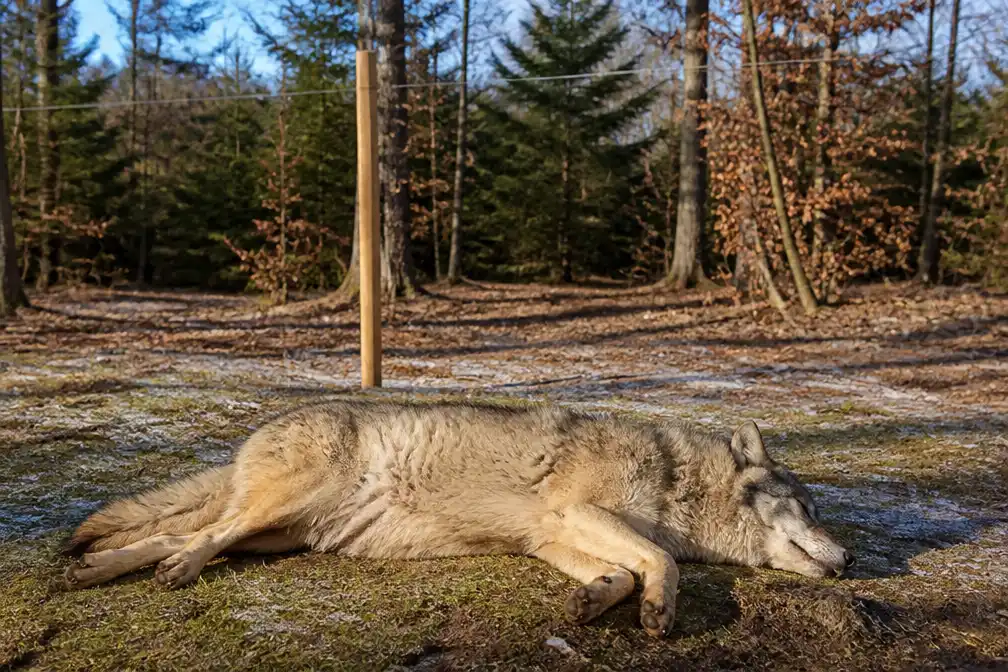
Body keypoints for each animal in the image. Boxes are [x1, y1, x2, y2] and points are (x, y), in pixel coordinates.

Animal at [63, 399, 854, 637]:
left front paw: (595, 600)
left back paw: (97, 570)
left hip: (275, 536)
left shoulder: (553, 539)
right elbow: (656, 563)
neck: (675, 478)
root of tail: (252, 437)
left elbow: (626, 572)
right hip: (277, 510)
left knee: (177, 533)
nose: (849, 561)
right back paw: (171, 572)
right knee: (201, 537)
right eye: (810, 510)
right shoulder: (579, 512)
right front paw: (659, 612)